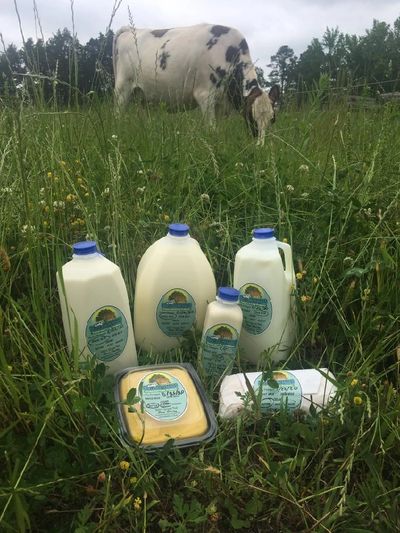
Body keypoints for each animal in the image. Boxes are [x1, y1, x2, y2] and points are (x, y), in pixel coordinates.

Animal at [114, 23, 280, 143]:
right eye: (251, 117)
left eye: (272, 119)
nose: (260, 145)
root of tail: (130, 30)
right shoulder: (205, 95)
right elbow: (212, 129)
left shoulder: (222, 104)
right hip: (122, 89)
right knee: (118, 115)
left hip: (143, 96)